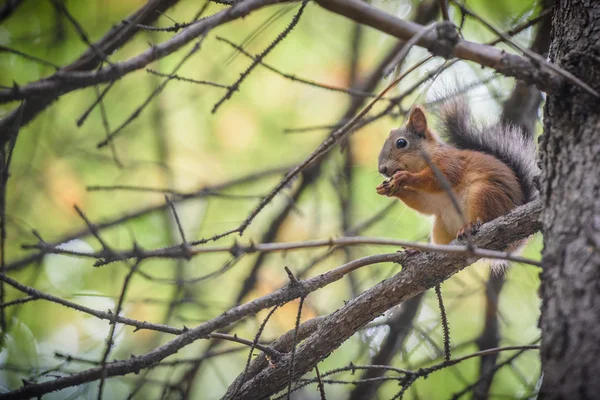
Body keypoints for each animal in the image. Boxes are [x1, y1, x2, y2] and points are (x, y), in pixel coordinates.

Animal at [376, 98, 540, 247]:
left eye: (401, 143)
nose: (382, 169)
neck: (422, 163)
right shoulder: (430, 199)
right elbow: (423, 204)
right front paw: (388, 189)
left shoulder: (449, 162)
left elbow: (440, 180)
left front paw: (405, 177)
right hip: (441, 225)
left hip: (485, 194)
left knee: (485, 216)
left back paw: (470, 226)